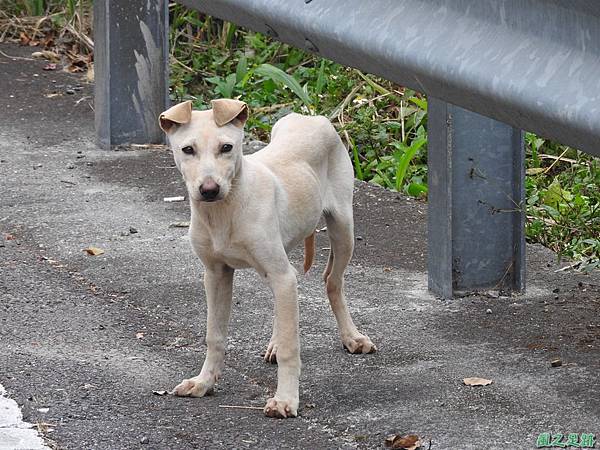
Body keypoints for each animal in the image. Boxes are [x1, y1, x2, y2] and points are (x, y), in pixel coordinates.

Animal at [158, 99, 376, 418]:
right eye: (188, 150)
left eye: (227, 147)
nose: (209, 191)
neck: (225, 210)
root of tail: (312, 117)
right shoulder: (216, 274)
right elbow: (215, 335)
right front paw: (203, 382)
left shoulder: (281, 274)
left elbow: (290, 347)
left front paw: (286, 399)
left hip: (342, 229)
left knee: (332, 282)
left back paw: (352, 337)